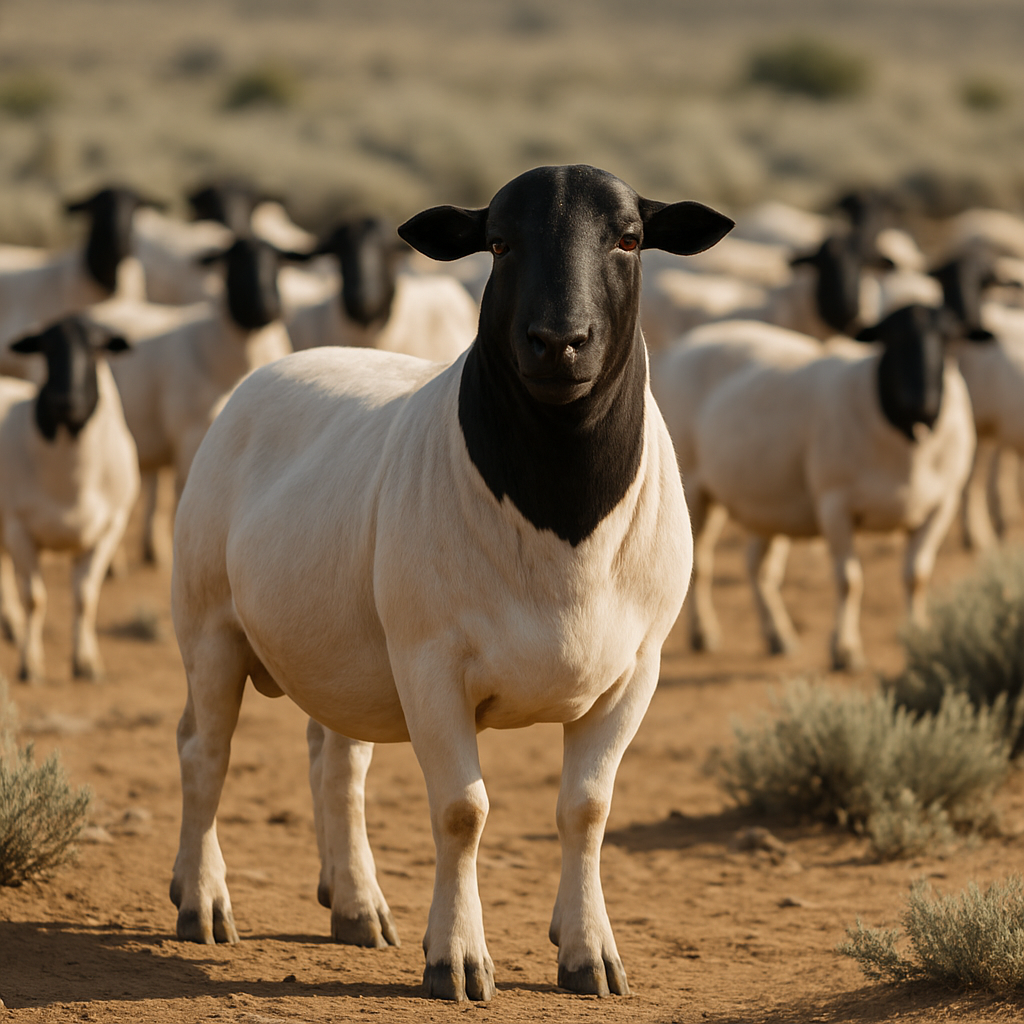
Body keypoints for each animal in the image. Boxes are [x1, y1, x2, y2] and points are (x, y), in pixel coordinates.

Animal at [0, 316, 139, 681]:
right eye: (46, 348)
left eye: (96, 348)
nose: (65, 401)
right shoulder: (18, 527)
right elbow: (35, 599)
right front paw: (30, 666)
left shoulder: (109, 529)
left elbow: (85, 597)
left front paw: (86, 663)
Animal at [653, 306, 975, 670]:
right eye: (890, 338)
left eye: (948, 339)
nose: (922, 402)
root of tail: (686, 344)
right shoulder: (834, 503)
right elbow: (849, 581)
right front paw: (845, 651)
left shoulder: (941, 505)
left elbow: (916, 576)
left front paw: (918, 634)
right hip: (693, 487)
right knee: (702, 564)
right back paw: (703, 633)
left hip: (768, 501)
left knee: (757, 567)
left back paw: (778, 636)